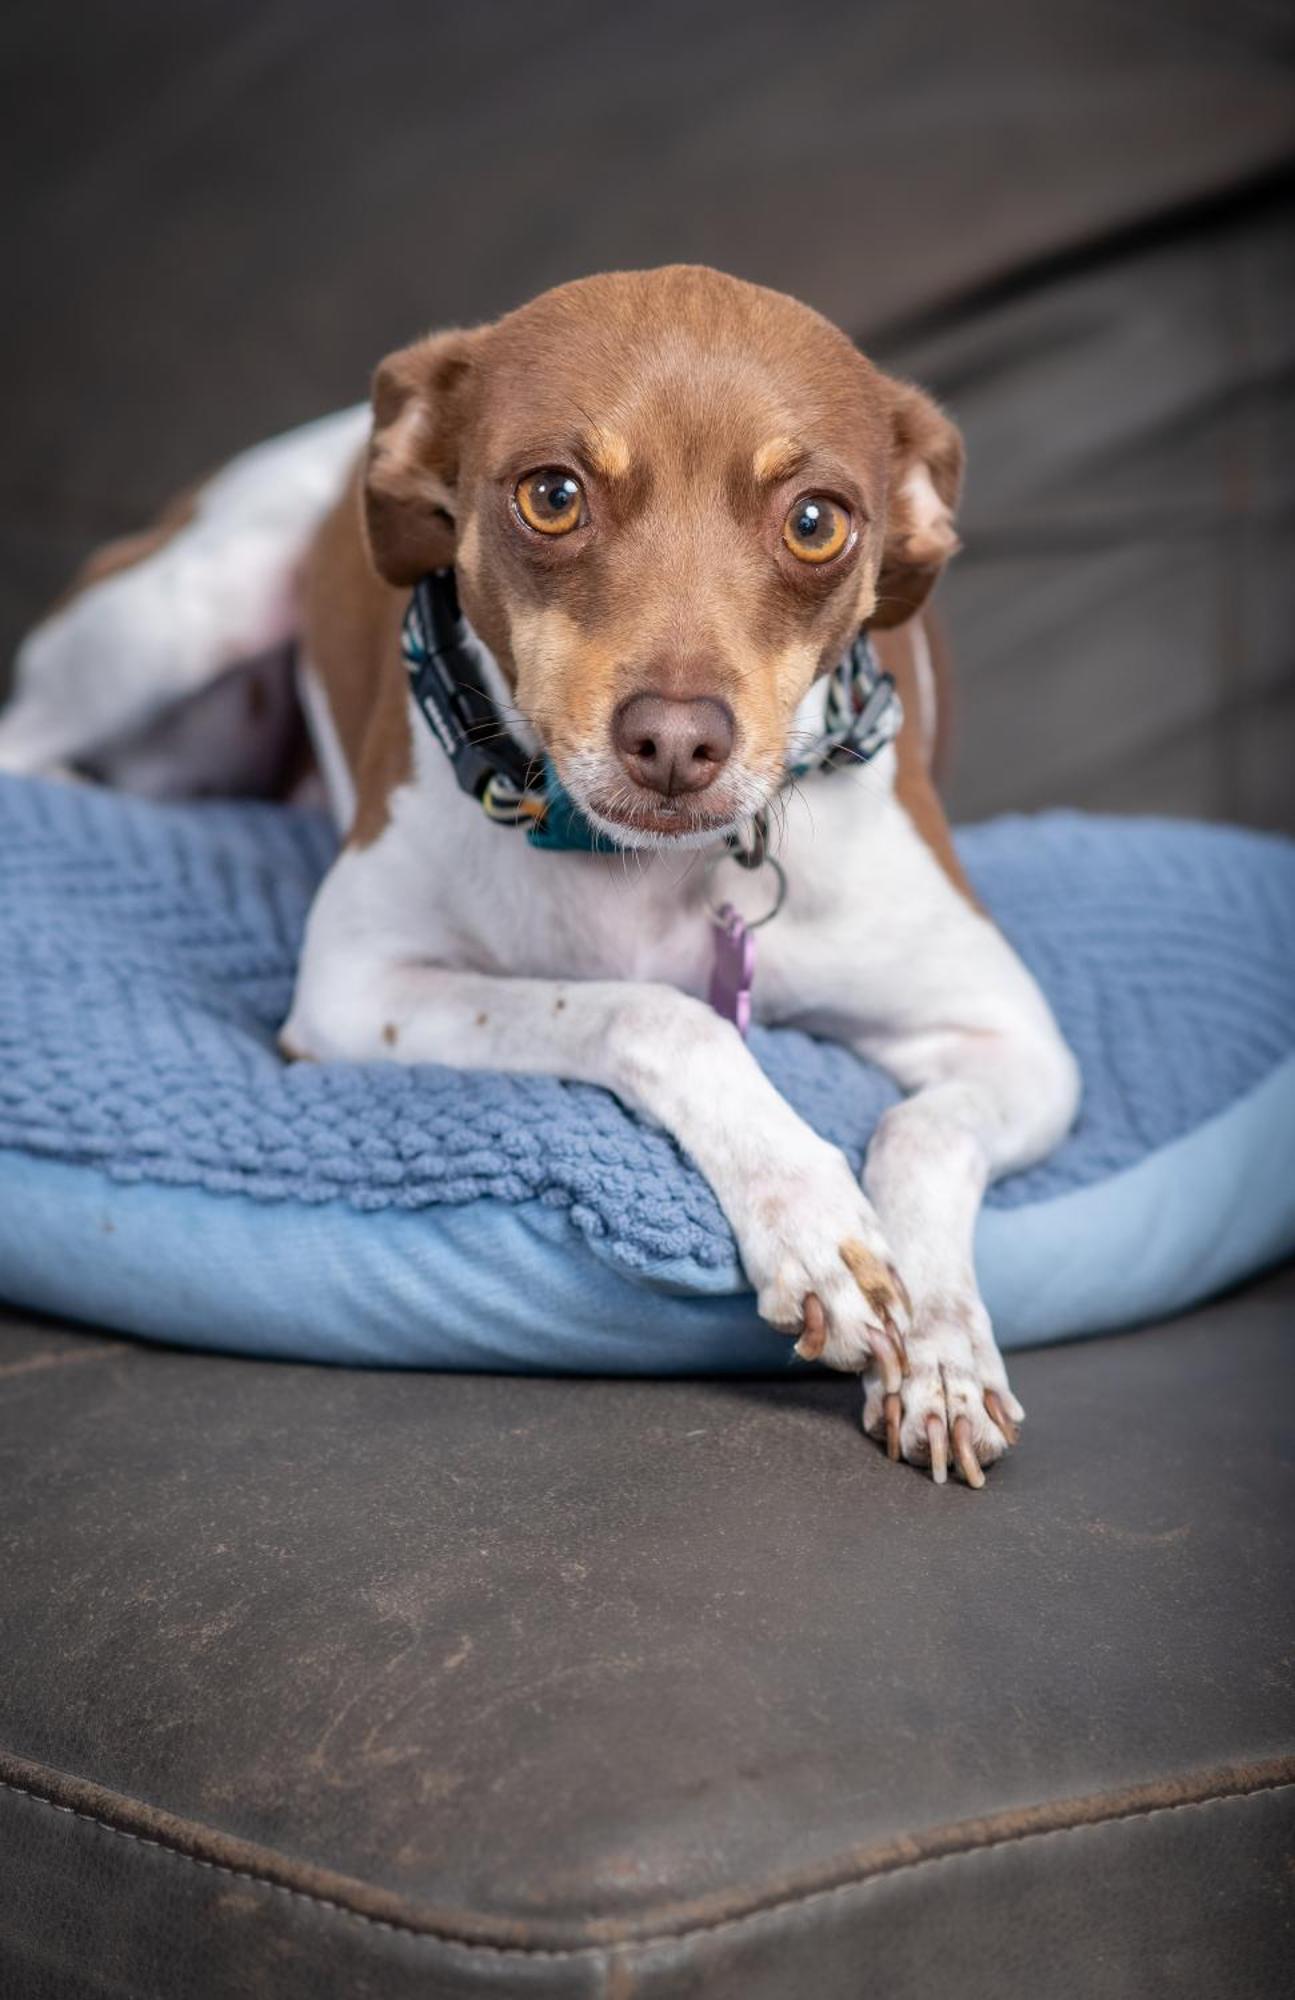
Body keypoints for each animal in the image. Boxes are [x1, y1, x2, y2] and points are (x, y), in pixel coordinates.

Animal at [0, 266, 1079, 1488]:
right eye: (553, 496)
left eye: (815, 522)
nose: (674, 741)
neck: (651, 871)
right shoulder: (356, 988)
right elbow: (654, 1014)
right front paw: (809, 1220)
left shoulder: (1017, 1045)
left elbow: (923, 1134)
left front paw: (942, 1349)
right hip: (180, 614)